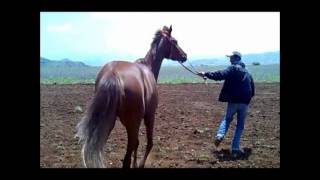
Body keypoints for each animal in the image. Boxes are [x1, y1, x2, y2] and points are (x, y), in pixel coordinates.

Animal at [75, 25, 188, 167]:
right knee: (130, 152)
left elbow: (138, 144)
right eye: (175, 41)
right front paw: (139, 164)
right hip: (132, 122)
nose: (185, 56)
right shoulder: (149, 116)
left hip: (109, 123)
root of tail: (112, 75)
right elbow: (149, 143)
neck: (148, 67)